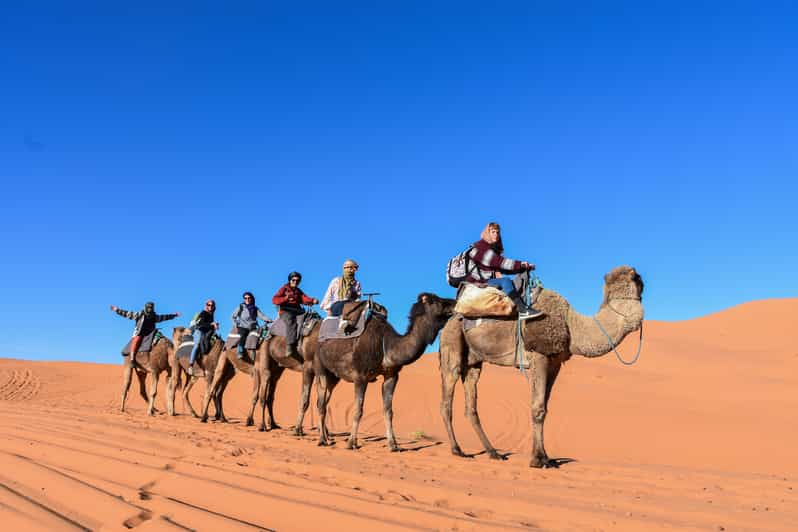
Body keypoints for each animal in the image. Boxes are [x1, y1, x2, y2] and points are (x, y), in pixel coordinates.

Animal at [318, 294, 456, 450]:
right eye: (436, 301)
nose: (454, 302)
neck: (386, 344)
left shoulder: (391, 375)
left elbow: (388, 411)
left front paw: (393, 445)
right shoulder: (360, 376)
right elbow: (358, 410)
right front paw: (351, 443)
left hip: (334, 376)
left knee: (324, 400)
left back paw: (327, 437)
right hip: (320, 368)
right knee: (321, 403)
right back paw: (322, 440)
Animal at [440, 264, 648, 466]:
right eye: (636, 277)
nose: (640, 276)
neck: (571, 325)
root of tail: (450, 320)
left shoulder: (554, 361)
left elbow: (545, 408)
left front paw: (547, 458)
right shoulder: (539, 354)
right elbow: (538, 408)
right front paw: (538, 459)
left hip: (474, 362)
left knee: (471, 406)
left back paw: (493, 453)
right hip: (452, 345)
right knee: (447, 399)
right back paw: (457, 450)